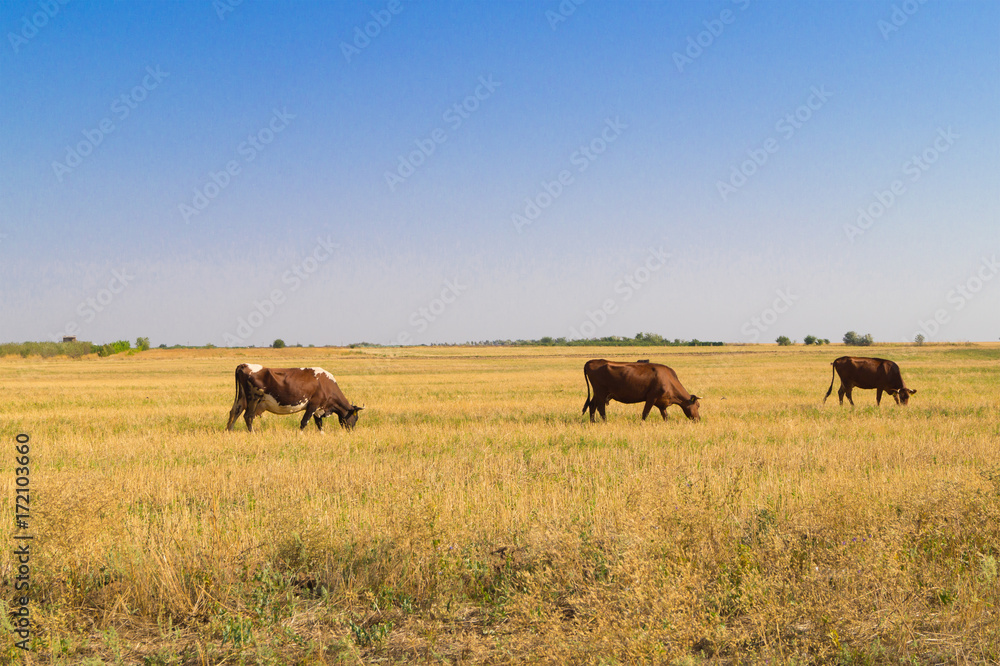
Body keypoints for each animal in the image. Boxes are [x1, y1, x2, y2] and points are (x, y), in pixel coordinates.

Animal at [227, 364, 364, 430]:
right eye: (356, 418)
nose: (351, 431)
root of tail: (244, 365)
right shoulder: (313, 405)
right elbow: (304, 422)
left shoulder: (318, 408)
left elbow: (319, 424)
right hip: (253, 399)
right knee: (248, 416)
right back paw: (252, 433)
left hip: (241, 399)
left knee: (234, 413)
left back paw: (229, 431)